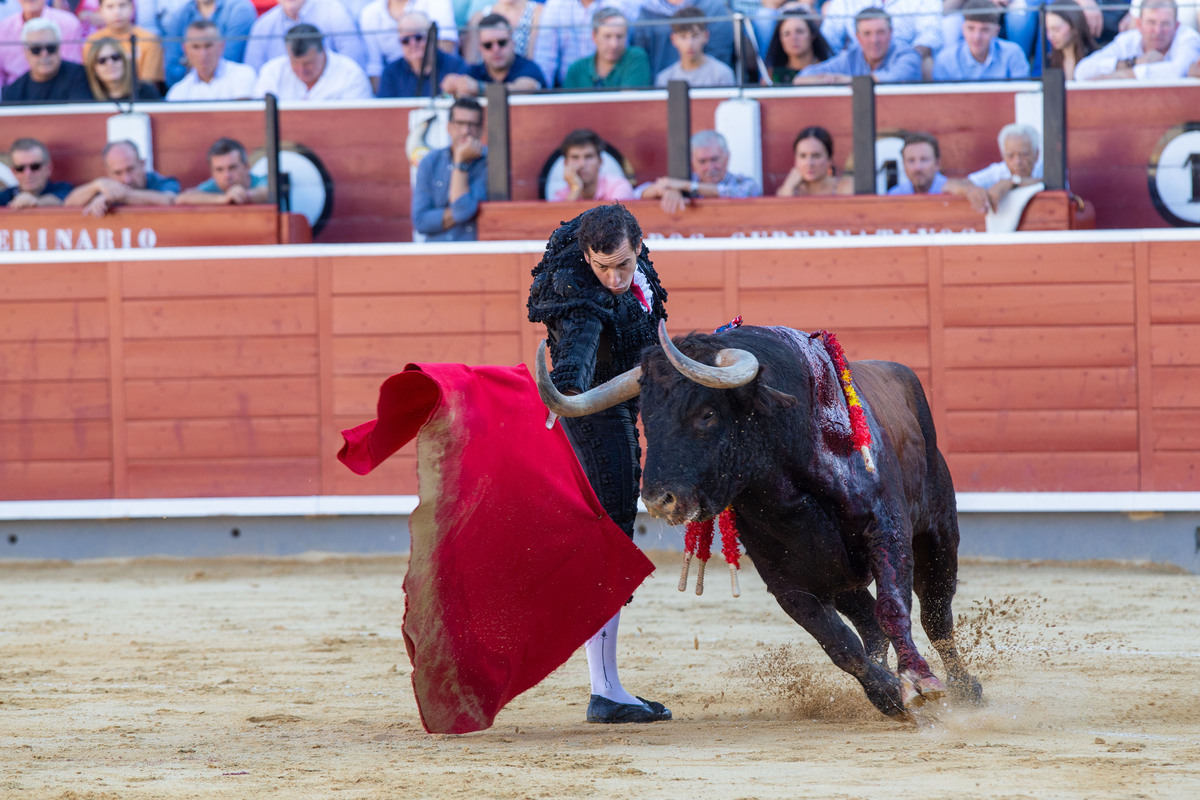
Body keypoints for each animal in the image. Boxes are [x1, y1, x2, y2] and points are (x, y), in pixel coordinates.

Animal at [540, 321, 979, 724]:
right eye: (646, 417)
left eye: (707, 414)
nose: (657, 500)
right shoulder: (786, 578)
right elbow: (839, 643)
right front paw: (886, 693)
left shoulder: (887, 531)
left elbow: (894, 608)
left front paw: (917, 682)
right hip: (840, 578)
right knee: (868, 623)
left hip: (938, 534)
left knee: (936, 613)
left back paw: (965, 688)